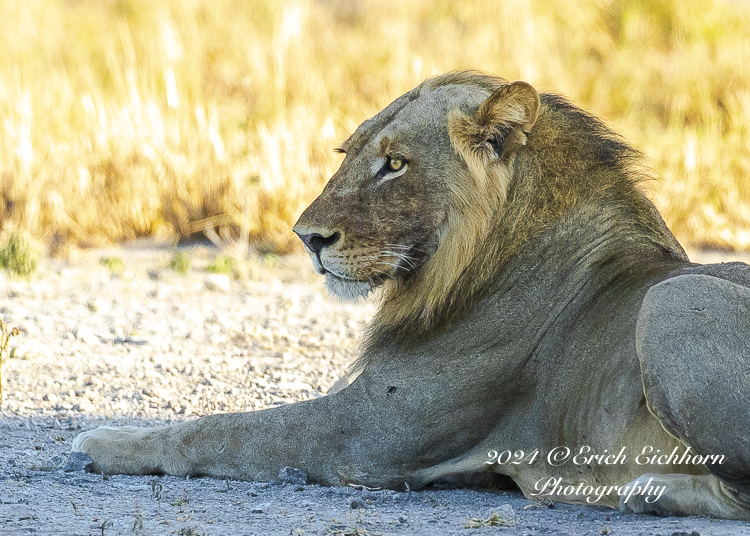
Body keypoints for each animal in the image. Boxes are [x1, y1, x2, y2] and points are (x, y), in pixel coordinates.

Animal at [72, 70, 750, 520]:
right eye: (347, 153)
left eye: (395, 164)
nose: (306, 237)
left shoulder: (366, 434)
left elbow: (222, 430)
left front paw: (102, 441)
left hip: (671, 303)